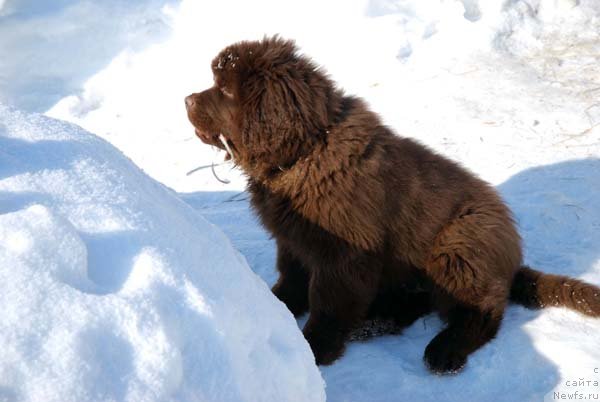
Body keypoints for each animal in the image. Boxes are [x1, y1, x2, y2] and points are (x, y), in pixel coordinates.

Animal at [184, 36, 600, 372]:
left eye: (225, 90)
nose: (186, 98)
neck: (306, 151)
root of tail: (511, 263)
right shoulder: (294, 241)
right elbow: (291, 279)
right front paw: (273, 307)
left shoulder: (343, 255)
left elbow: (327, 302)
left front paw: (314, 347)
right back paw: (376, 323)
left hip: (460, 241)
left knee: (483, 309)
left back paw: (444, 350)